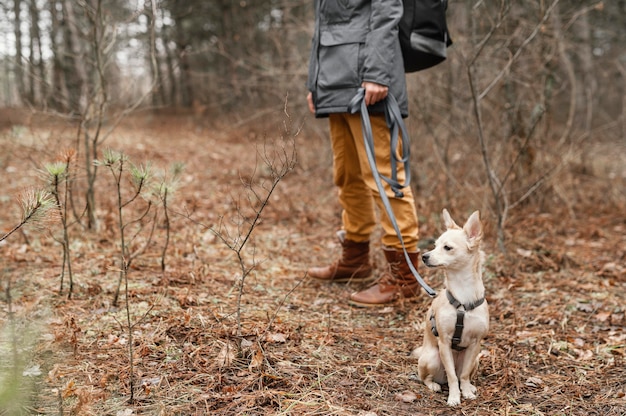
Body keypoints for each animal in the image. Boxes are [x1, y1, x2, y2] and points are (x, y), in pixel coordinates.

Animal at [412, 210, 490, 404]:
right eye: (434, 246)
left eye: (447, 247)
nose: (424, 256)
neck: (463, 297)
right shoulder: (444, 342)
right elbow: (453, 376)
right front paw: (454, 397)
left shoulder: (475, 344)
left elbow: (463, 375)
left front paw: (466, 392)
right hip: (433, 357)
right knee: (426, 377)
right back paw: (434, 385)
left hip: (475, 359)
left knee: (465, 374)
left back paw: (470, 386)